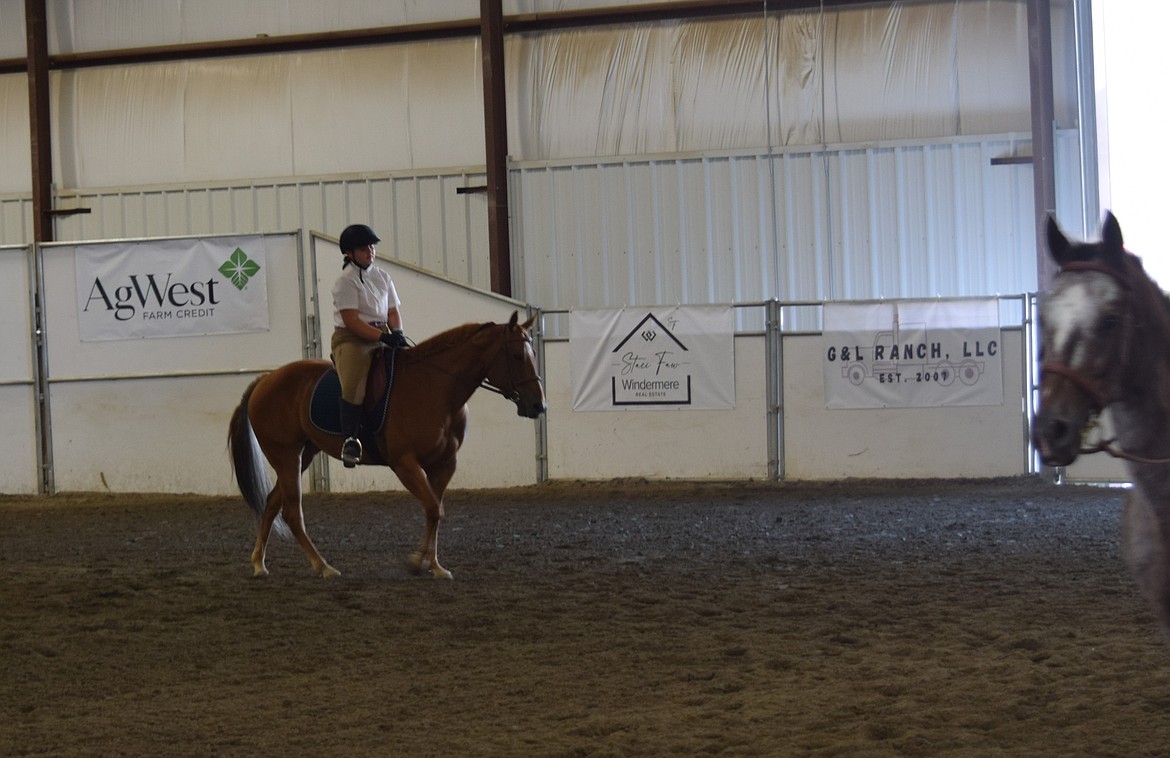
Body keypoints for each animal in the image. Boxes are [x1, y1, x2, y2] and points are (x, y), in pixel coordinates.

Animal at [228, 311, 547, 577]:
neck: (436, 388)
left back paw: (259, 563)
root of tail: (265, 380)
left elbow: (435, 510)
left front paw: (434, 565)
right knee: (292, 512)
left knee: (271, 503)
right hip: (286, 455)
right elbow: (434, 508)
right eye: (517, 356)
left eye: (532, 353)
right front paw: (418, 561)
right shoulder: (404, 463)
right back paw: (323, 566)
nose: (538, 405)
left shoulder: (444, 464)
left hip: (303, 454)